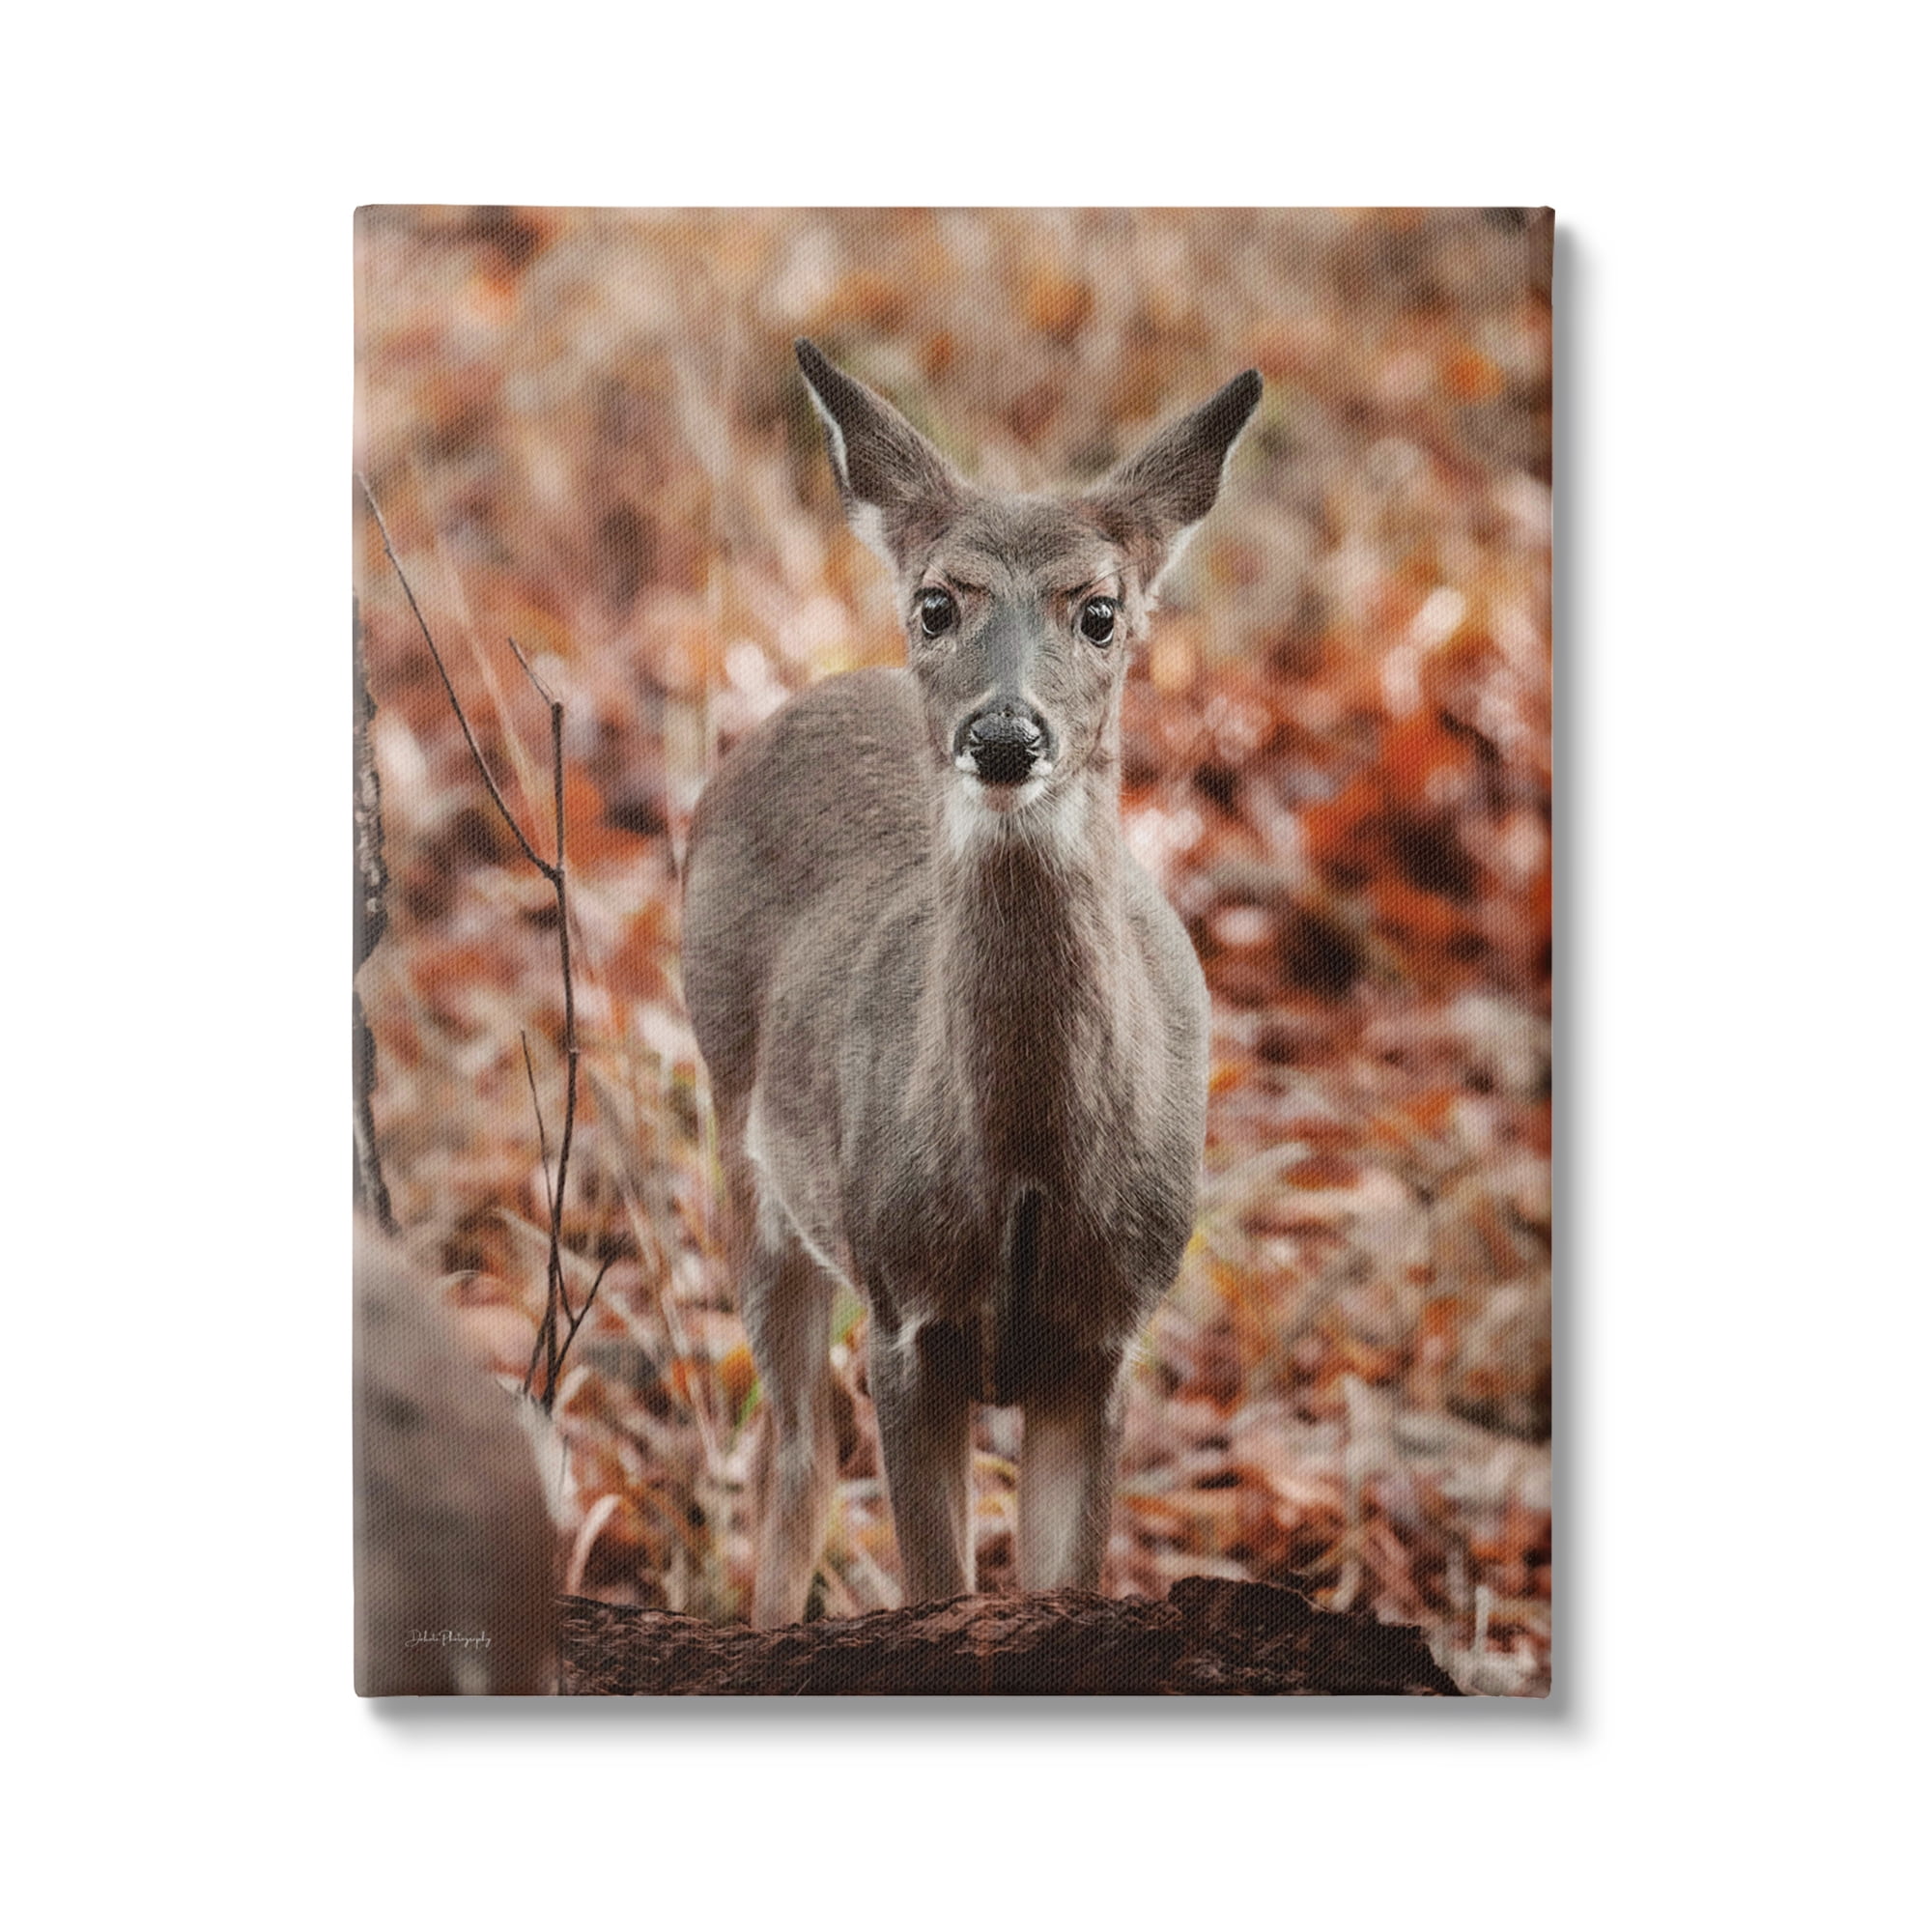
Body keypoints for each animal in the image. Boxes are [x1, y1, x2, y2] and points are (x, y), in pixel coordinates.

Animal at [681, 339, 1261, 1627]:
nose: (1003, 734)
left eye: (1099, 611)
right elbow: (933, 1581)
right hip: (749, 1160)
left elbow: (1062, 1580)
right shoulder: (908, 1313)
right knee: (796, 1443)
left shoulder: (1104, 1337)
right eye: (937, 603)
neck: (1026, 1163)